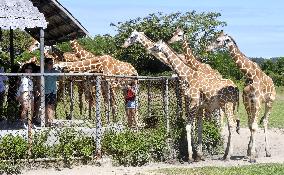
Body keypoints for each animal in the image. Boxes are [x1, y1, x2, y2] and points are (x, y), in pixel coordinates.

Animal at [205, 31, 276, 163]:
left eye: (218, 40)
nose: (207, 48)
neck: (250, 74)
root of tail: (272, 83)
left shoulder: (257, 100)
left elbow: (254, 126)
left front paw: (252, 157)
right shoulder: (247, 101)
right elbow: (250, 125)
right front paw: (250, 152)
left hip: (269, 102)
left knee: (265, 121)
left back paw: (268, 152)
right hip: (254, 104)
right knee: (255, 122)